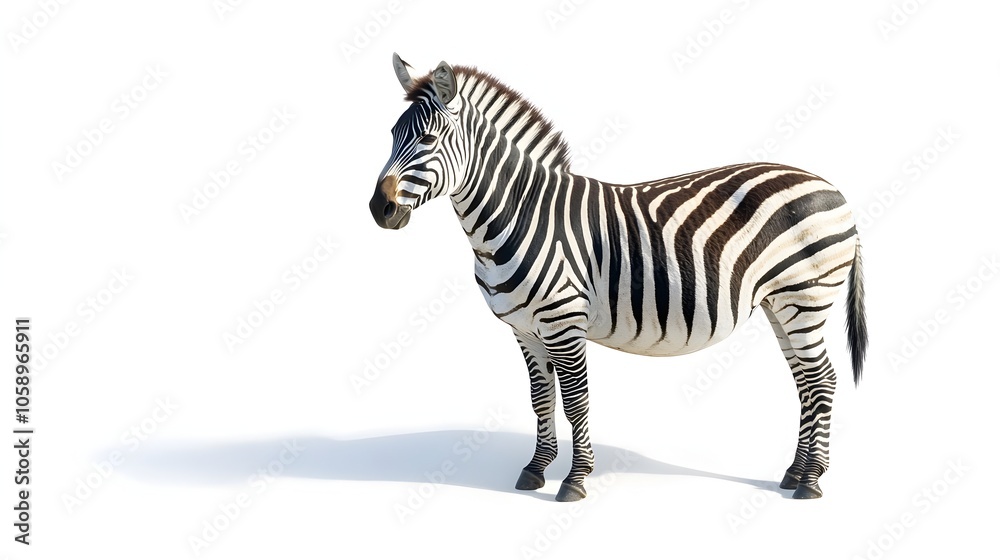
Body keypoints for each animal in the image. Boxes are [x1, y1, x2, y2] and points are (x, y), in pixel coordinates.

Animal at [369, 54, 868, 502]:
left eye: (428, 138)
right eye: (392, 135)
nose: (379, 209)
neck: (519, 215)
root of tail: (833, 187)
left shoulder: (563, 322)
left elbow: (576, 399)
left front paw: (575, 479)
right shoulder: (524, 330)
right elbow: (541, 397)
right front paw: (536, 469)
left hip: (805, 297)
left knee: (822, 381)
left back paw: (810, 482)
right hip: (779, 304)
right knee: (805, 382)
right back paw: (794, 472)